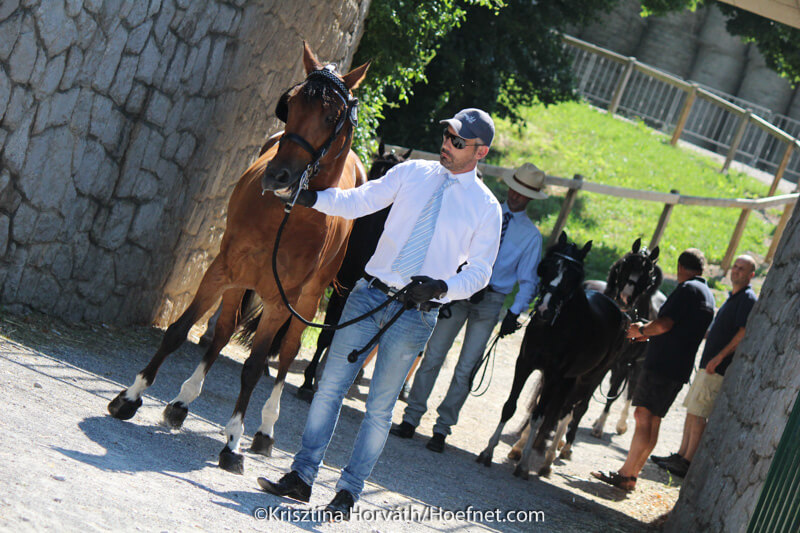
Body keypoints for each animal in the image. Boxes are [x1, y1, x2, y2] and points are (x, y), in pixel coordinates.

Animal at [107, 42, 370, 475]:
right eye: (291, 104)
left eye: (332, 116)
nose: (278, 176)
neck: (288, 217)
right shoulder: (222, 270)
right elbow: (179, 331)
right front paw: (130, 396)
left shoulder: (282, 302)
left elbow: (254, 367)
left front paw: (233, 440)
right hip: (240, 281)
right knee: (222, 332)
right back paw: (182, 402)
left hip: (306, 301)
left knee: (285, 357)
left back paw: (264, 431)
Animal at [476, 232, 629, 479]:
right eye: (546, 268)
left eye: (573, 276)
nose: (544, 310)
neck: (555, 327)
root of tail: (619, 310)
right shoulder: (525, 364)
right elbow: (510, 407)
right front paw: (488, 451)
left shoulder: (554, 375)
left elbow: (539, 415)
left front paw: (523, 465)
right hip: (569, 379)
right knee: (561, 410)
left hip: (590, 378)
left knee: (571, 412)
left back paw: (549, 460)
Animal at [506, 238, 663, 462]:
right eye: (624, 267)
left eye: (647, 275)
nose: (624, 298)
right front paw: (529, 441)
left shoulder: (615, 366)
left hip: (615, 369)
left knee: (614, 394)